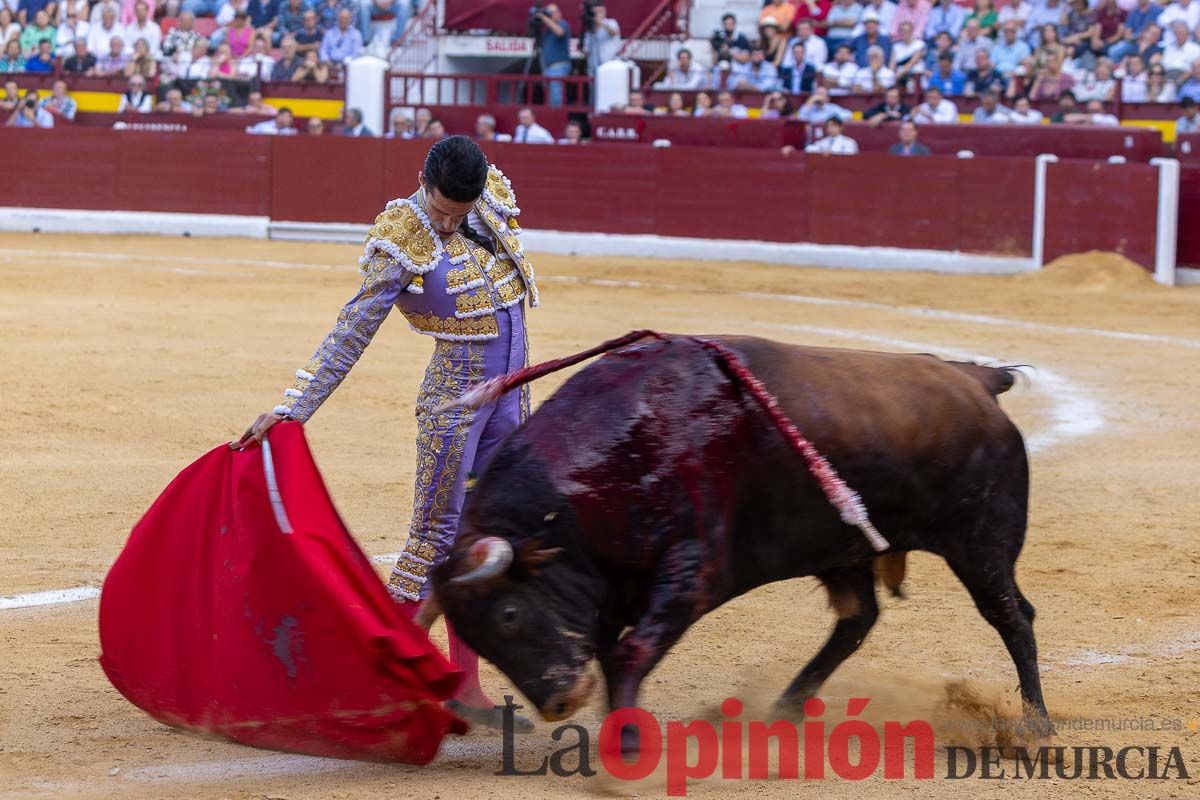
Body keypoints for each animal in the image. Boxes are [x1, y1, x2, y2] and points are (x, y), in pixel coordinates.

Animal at [427, 328, 1046, 748]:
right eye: (476, 638)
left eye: (508, 613)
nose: (558, 703)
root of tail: (976, 381)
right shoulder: (612, 588)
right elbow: (609, 651)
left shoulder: (693, 572)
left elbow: (630, 651)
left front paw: (625, 750)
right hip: (843, 551)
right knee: (857, 620)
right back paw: (783, 711)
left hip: (982, 546)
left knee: (1013, 616)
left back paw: (1035, 724)